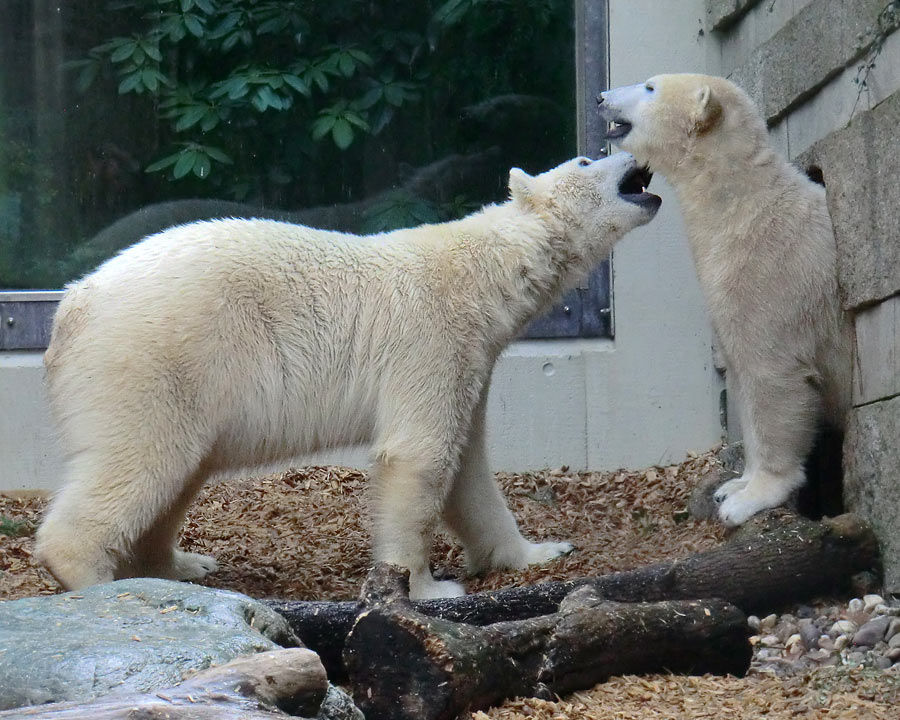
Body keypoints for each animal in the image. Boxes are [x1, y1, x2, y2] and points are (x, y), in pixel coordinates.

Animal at [35, 153, 660, 600]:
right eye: (585, 159)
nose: (633, 151)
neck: (480, 273)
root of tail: (72, 304)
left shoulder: (474, 359)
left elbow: (468, 467)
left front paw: (540, 551)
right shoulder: (429, 338)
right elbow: (420, 455)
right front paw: (429, 588)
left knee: (177, 474)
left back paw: (182, 562)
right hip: (154, 359)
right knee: (141, 460)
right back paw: (91, 577)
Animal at [596, 73, 852, 524]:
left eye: (649, 87)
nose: (601, 98)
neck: (740, 208)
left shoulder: (772, 275)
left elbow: (772, 378)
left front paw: (751, 498)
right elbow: (741, 378)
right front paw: (733, 485)